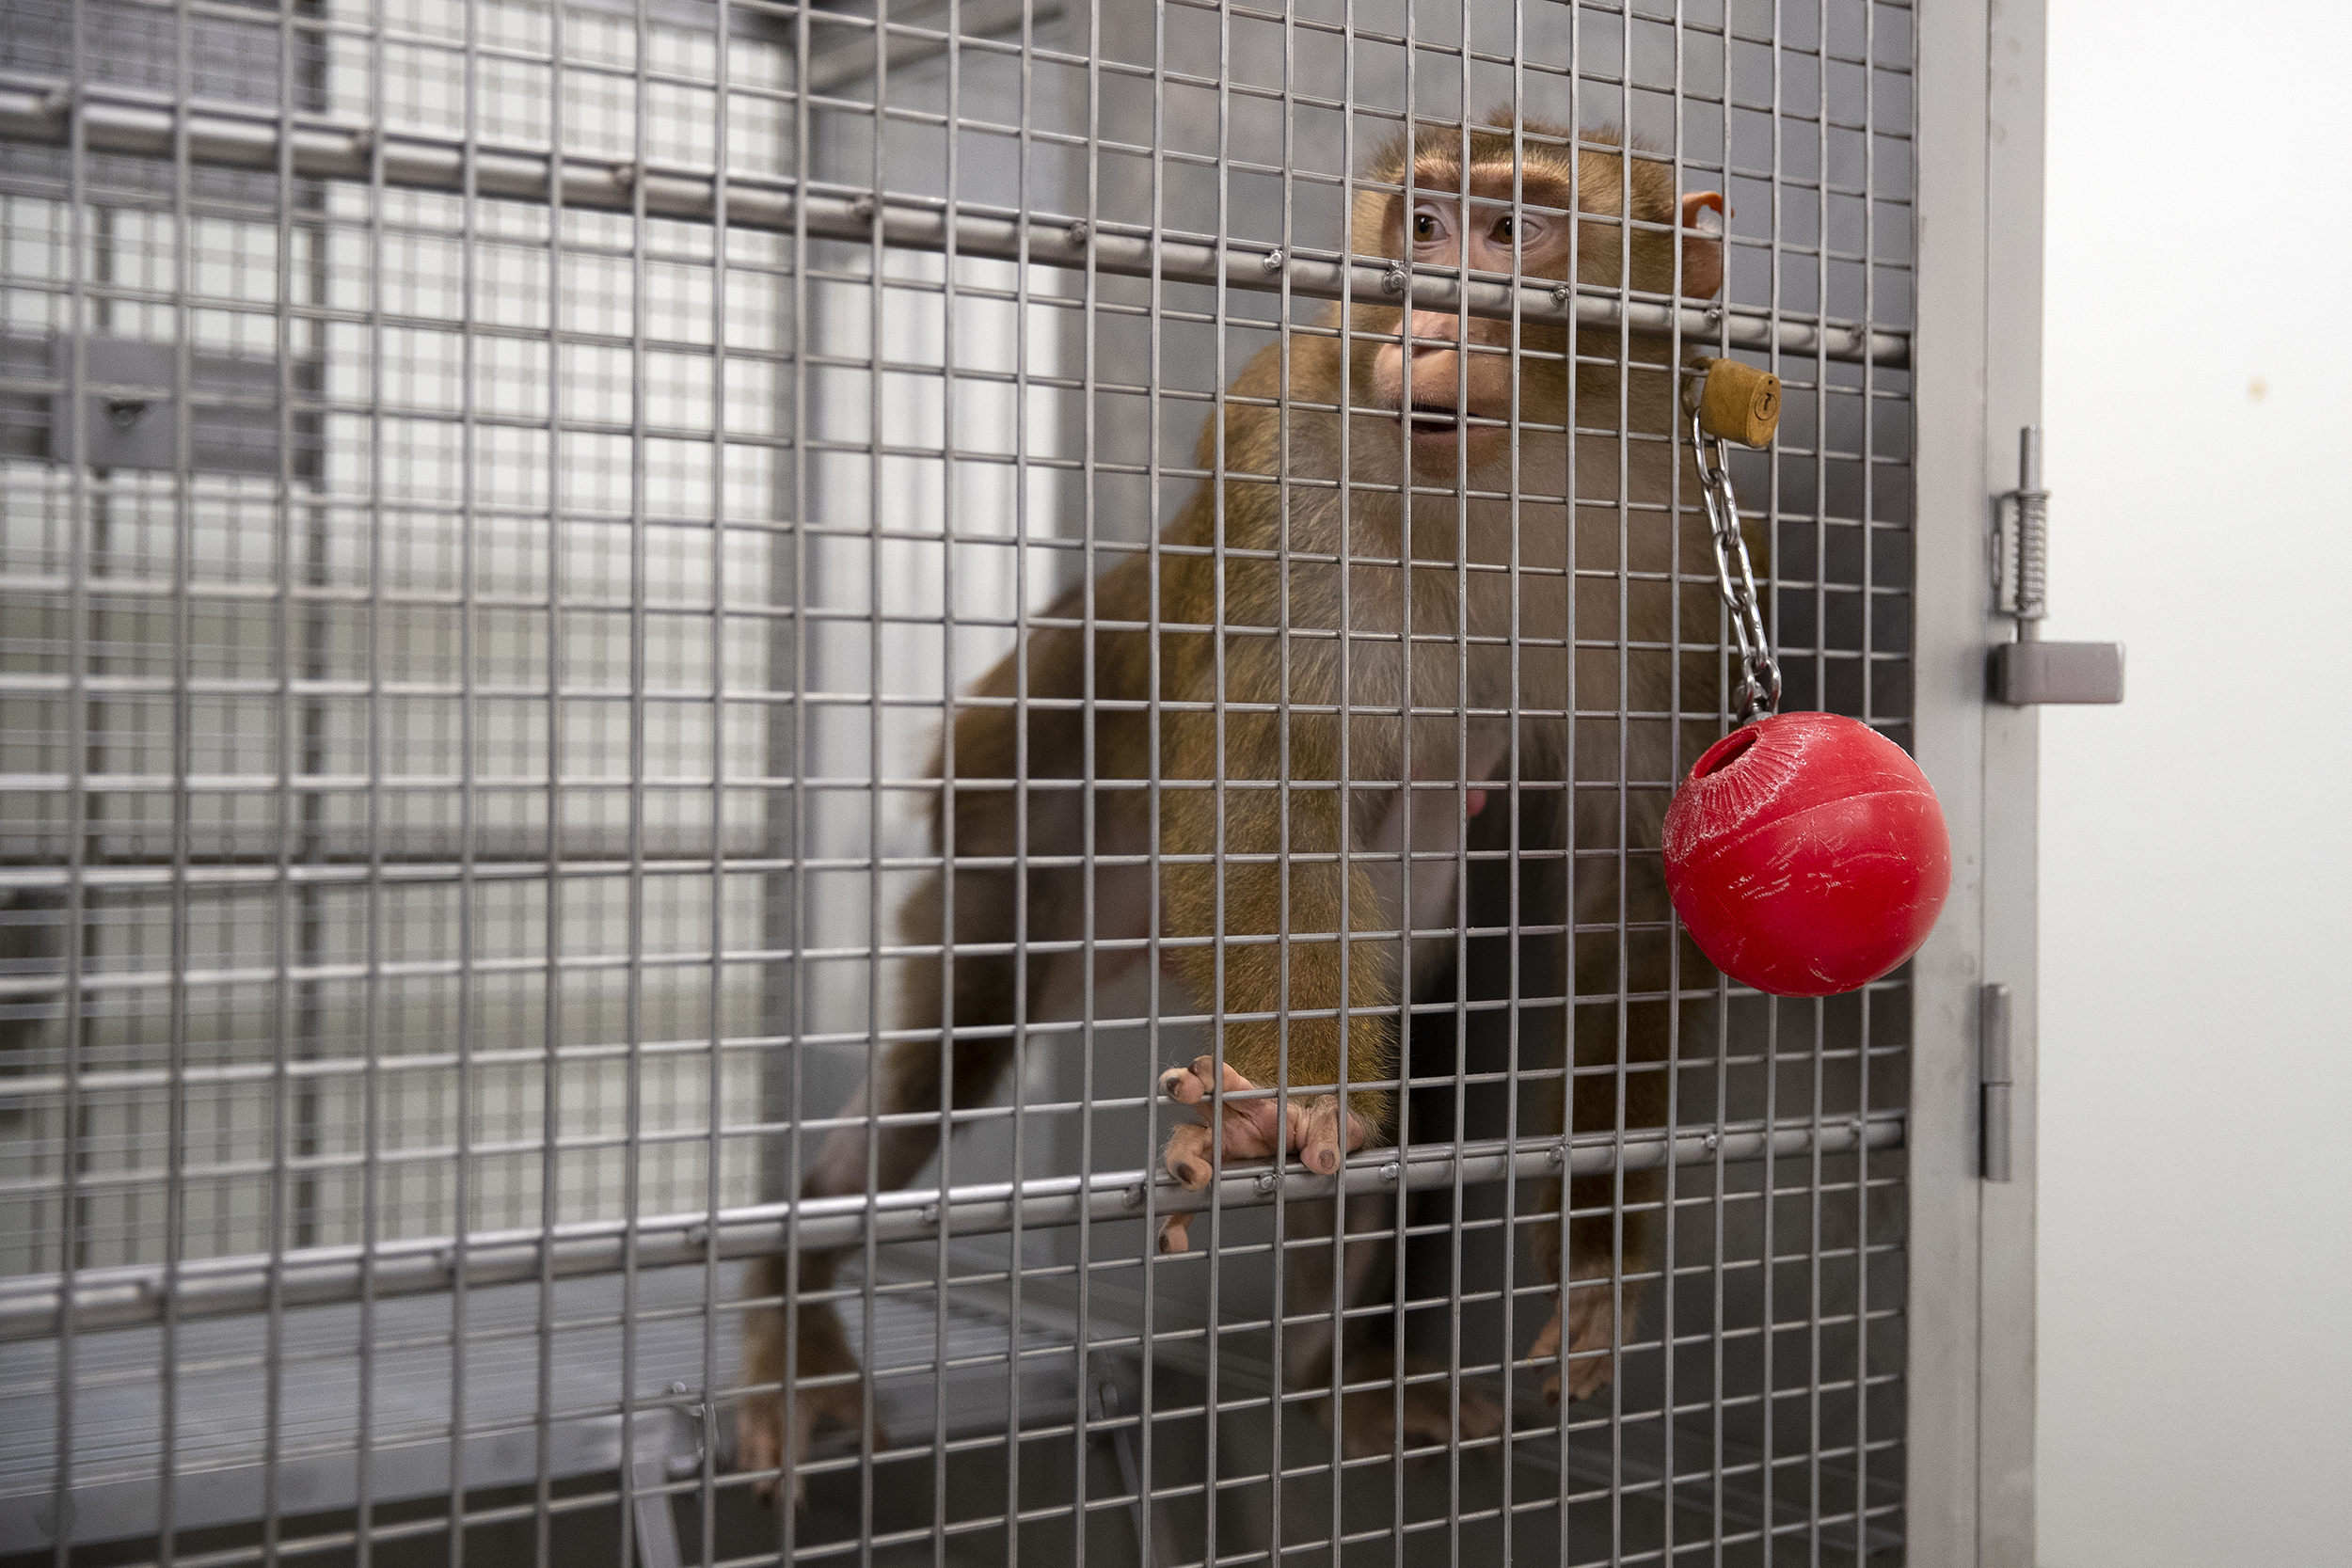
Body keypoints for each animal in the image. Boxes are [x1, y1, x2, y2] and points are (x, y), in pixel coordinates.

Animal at [737, 114, 1746, 1505]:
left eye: (1513, 229)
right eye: (1422, 225)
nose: (1428, 315)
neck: (1509, 469)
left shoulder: (1671, 542)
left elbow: (1637, 872)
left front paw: (1595, 1247)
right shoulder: (1295, 462)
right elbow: (1271, 787)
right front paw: (1298, 1108)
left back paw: (1339, 1375)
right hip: (1012, 815)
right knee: (946, 1053)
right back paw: (794, 1300)